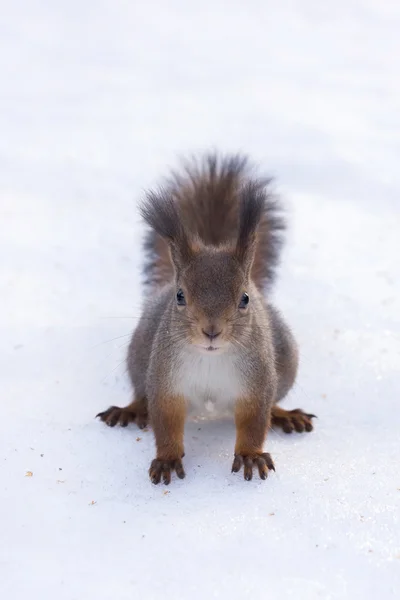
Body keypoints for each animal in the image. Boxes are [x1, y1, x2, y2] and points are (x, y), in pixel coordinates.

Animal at [97, 154, 316, 482]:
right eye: (180, 296)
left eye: (244, 298)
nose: (211, 331)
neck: (211, 357)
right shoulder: (166, 380)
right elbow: (166, 420)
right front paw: (167, 458)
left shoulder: (257, 380)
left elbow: (255, 420)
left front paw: (250, 455)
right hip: (139, 353)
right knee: (141, 391)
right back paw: (131, 408)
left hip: (286, 359)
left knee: (274, 401)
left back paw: (284, 415)